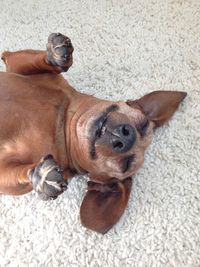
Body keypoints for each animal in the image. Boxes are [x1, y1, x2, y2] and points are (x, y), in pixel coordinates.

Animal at [0, 33, 187, 234]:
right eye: (143, 124)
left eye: (125, 165)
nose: (126, 137)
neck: (64, 123)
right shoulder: (15, 65)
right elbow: (26, 59)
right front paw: (57, 55)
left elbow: (19, 172)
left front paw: (41, 177)